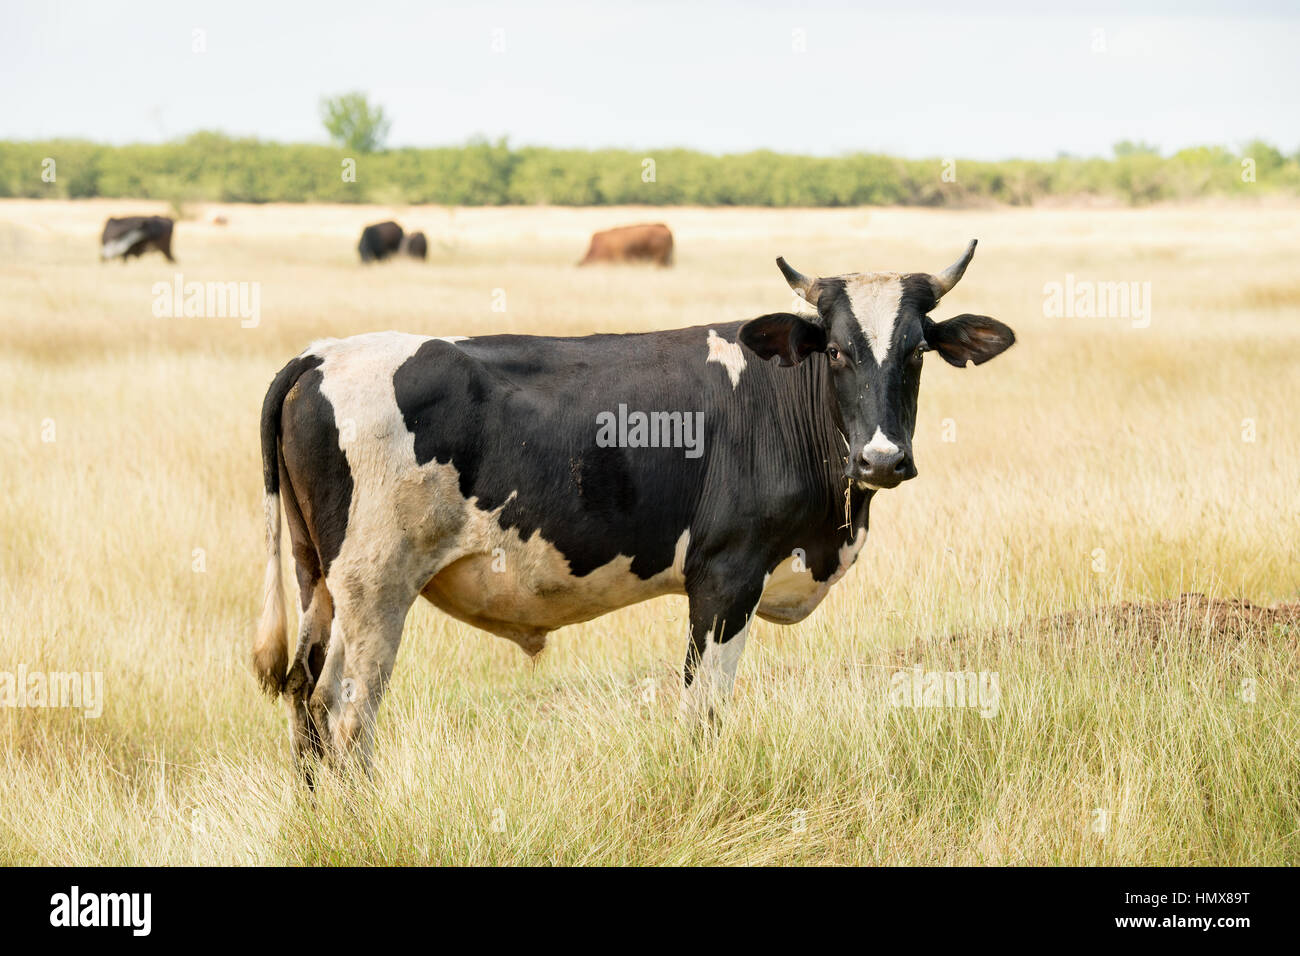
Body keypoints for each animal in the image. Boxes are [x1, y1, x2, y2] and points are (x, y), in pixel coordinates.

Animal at [252, 240, 1014, 781]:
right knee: (344, 716)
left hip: (320, 579)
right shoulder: (726, 576)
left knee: (303, 700)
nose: (881, 460)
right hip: (376, 587)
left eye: (917, 351)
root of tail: (321, 354)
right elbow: (703, 712)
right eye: (834, 350)